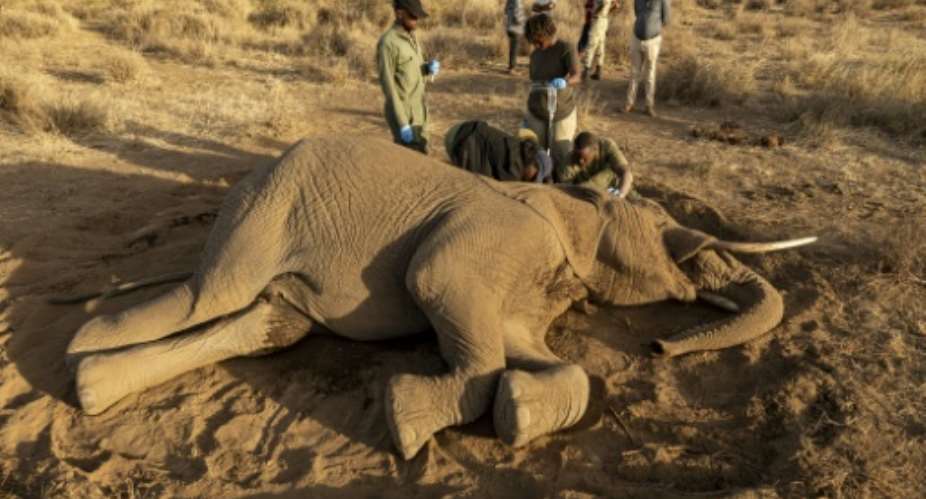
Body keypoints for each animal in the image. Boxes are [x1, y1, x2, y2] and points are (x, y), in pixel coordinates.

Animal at [66, 136, 815, 460]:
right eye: (663, 226)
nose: (660, 344)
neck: (564, 200)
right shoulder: (496, 238)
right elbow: (435, 280)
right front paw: (406, 422)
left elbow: (537, 355)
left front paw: (519, 411)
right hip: (266, 207)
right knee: (205, 296)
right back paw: (82, 342)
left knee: (265, 325)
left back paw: (91, 387)